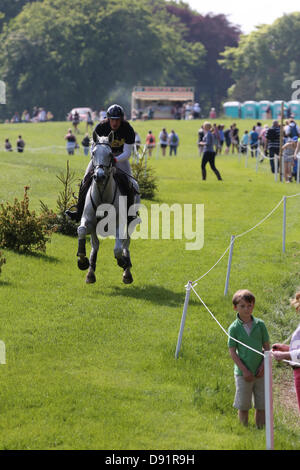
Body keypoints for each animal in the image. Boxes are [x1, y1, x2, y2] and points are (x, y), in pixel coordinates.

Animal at [76, 136, 139, 282]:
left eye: (110, 154)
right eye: (93, 153)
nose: (99, 176)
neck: (102, 195)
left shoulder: (120, 225)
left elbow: (118, 249)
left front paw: (122, 261)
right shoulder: (88, 221)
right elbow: (81, 230)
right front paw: (82, 261)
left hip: (131, 224)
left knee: (126, 245)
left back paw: (127, 271)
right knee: (95, 245)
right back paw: (90, 273)